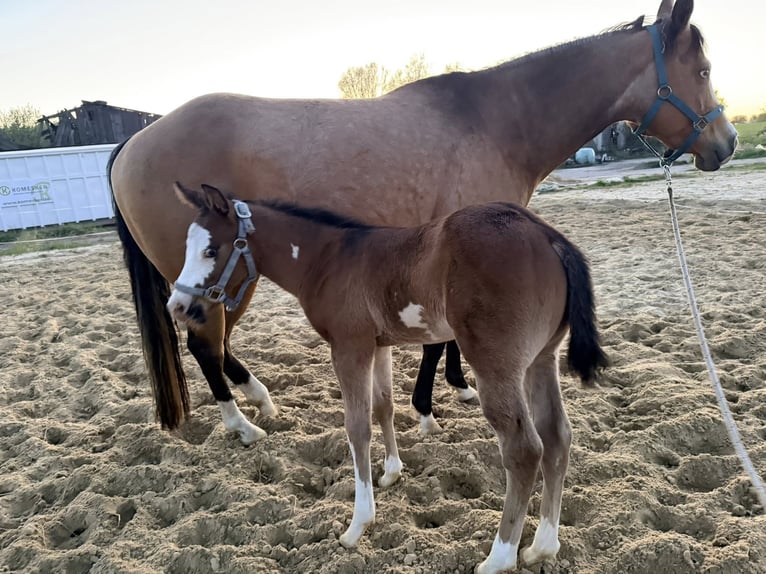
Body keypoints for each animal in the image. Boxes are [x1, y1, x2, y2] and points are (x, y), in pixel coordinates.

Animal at [109, 0, 737, 443]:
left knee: (216, 348)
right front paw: (429, 409)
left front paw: (454, 390)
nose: (727, 142)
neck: (496, 121)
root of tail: (134, 142)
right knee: (204, 346)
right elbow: (437, 342)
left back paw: (260, 399)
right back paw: (243, 424)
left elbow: (443, 340)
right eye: (704, 68)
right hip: (213, 283)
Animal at [166, 181, 608, 573]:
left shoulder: (349, 347)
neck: (327, 259)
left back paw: (498, 558)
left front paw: (357, 525)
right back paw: (541, 547)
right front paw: (392, 472)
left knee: (524, 450)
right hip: (541, 359)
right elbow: (383, 407)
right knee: (557, 437)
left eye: (211, 249)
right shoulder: (379, 345)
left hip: (495, 364)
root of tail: (548, 235)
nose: (178, 305)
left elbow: (356, 427)